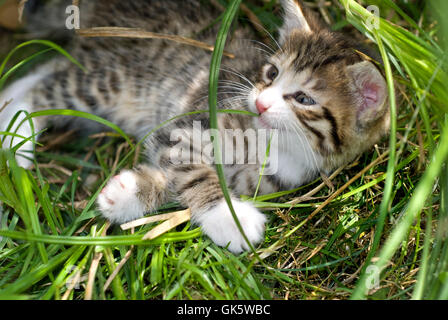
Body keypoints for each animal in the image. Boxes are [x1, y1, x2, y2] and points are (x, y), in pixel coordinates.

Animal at [0, 1, 388, 254]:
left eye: (304, 99)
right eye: (272, 73)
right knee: (43, 90)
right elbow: (195, 172)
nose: (261, 102)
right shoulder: (190, 124)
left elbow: (173, 177)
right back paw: (17, 143)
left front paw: (125, 195)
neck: (274, 144)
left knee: (47, 71)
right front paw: (229, 218)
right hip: (107, 81)